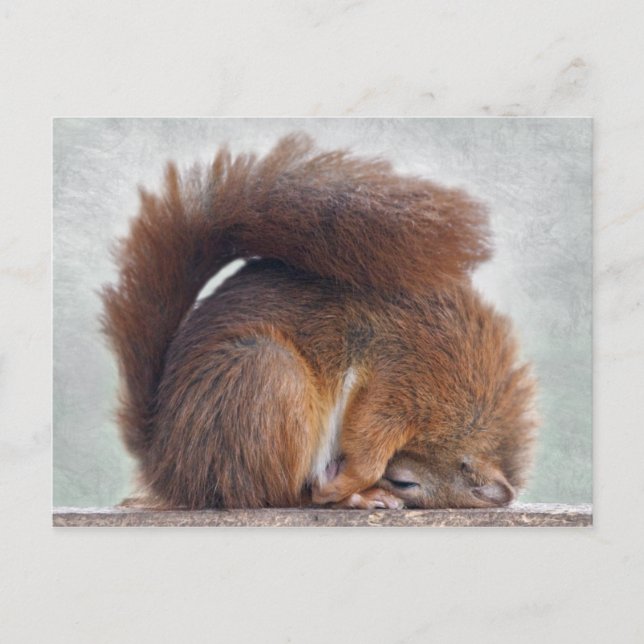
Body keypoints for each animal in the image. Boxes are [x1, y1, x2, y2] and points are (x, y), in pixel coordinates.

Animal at [101, 134, 537, 510]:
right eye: (405, 482)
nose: (391, 483)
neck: (470, 410)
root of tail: (168, 466)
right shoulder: (408, 376)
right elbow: (370, 434)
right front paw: (350, 482)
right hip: (265, 377)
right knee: (278, 496)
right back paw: (349, 495)